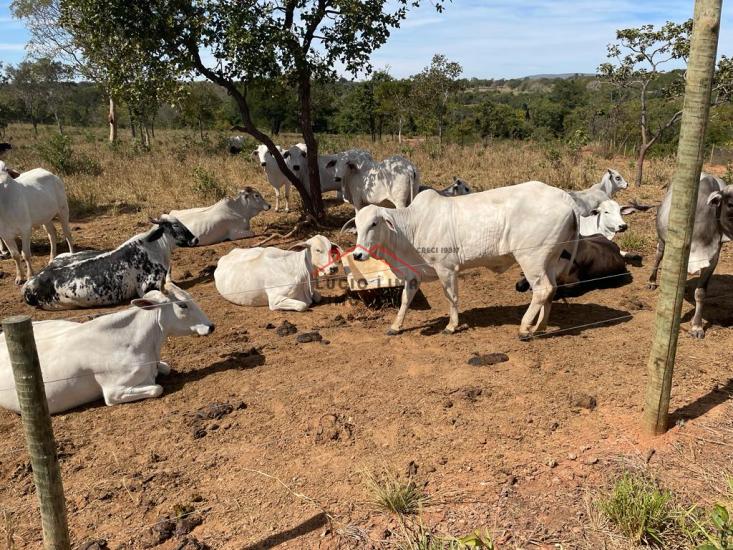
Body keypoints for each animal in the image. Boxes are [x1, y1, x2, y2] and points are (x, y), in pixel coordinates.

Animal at [352, 180, 580, 340]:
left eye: (374, 223)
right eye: (357, 224)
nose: (357, 254)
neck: (412, 227)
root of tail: (563, 196)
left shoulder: (446, 268)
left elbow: (451, 297)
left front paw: (451, 326)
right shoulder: (413, 275)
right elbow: (405, 300)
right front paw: (395, 326)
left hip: (531, 259)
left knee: (542, 290)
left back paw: (524, 328)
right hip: (549, 259)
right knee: (551, 289)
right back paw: (540, 326)